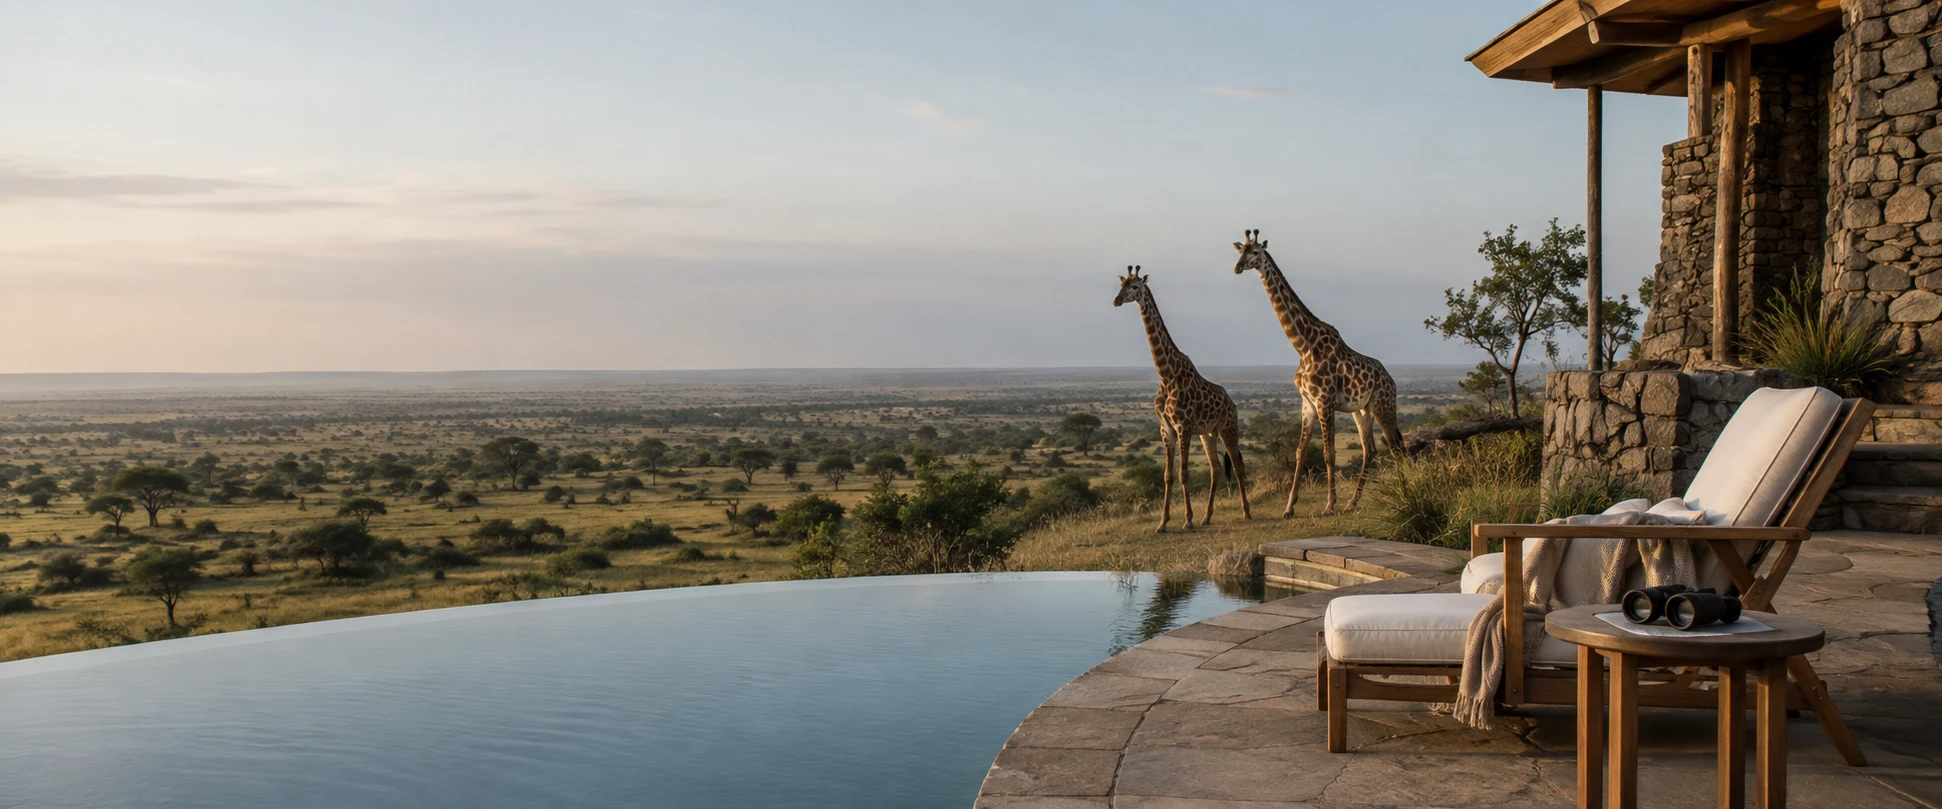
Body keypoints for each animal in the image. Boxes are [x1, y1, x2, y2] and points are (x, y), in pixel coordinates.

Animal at [1113, 266, 1252, 532]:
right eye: (1121, 285)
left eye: (1134, 287)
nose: (1116, 300)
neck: (1166, 374)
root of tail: (1231, 402)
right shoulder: (1166, 428)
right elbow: (1167, 475)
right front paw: (1162, 522)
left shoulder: (1183, 426)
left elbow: (1183, 473)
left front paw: (1187, 520)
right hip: (1208, 433)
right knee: (1215, 468)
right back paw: (1207, 516)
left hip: (1228, 427)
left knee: (1238, 465)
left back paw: (1246, 512)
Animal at [1231, 230, 1403, 516]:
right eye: (1239, 251)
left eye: (1255, 252)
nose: (1237, 268)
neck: (1303, 346)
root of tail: (1392, 381)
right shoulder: (1307, 403)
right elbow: (1300, 452)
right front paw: (1289, 507)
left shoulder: (1324, 400)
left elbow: (1328, 454)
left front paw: (1329, 505)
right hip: (1361, 411)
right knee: (1371, 450)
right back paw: (1352, 502)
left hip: (1383, 405)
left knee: (1395, 446)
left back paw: (1404, 493)